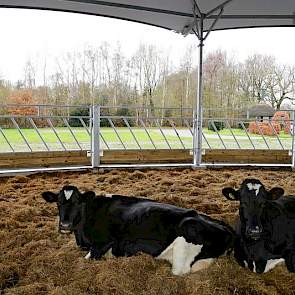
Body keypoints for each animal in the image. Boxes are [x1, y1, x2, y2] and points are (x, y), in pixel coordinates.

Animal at [42, 186, 236, 276]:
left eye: (77, 202)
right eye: (58, 202)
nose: (64, 225)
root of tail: (226, 227)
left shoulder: (104, 242)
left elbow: (88, 258)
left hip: (186, 238)